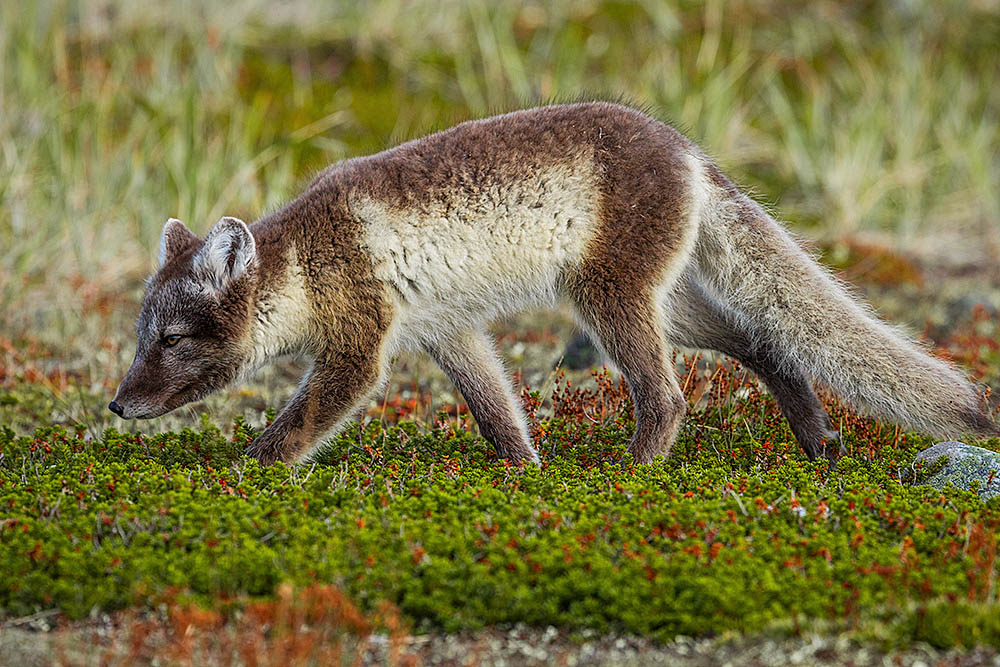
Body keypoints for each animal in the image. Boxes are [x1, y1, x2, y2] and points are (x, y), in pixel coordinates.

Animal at [111, 103, 1000, 464]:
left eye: (172, 339)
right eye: (140, 335)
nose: (117, 405)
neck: (308, 260)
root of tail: (690, 151)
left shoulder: (362, 350)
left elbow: (292, 428)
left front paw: (239, 476)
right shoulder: (447, 329)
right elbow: (496, 411)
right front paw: (524, 473)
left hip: (612, 301)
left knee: (668, 395)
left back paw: (631, 473)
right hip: (670, 307)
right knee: (766, 343)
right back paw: (817, 443)